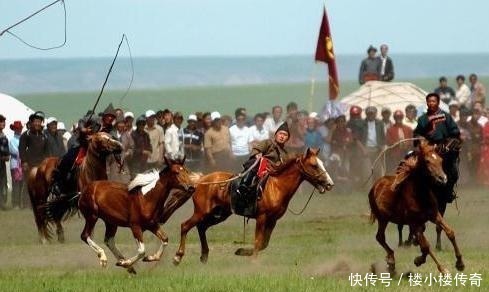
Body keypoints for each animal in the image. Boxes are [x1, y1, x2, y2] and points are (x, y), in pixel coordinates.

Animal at [173, 148, 336, 264]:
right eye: (314, 165)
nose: (330, 184)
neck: (276, 186)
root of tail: (201, 180)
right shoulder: (261, 218)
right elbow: (258, 241)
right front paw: (253, 261)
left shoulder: (272, 220)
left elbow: (263, 243)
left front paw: (241, 251)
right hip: (201, 212)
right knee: (185, 226)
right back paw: (178, 257)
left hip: (219, 214)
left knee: (201, 227)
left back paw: (204, 256)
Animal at [368, 141, 464, 274]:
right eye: (427, 161)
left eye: (440, 160)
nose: (443, 178)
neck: (420, 194)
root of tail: (375, 186)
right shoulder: (414, 222)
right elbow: (425, 246)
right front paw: (442, 269)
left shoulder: (435, 214)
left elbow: (449, 232)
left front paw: (460, 263)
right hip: (383, 219)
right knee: (380, 237)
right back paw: (391, 260)